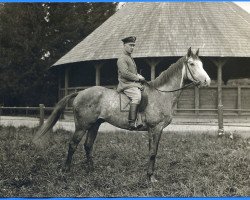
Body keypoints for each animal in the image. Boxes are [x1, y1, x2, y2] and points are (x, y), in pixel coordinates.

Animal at [31, 47, 211, 183]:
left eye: (202, 64)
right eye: (192, 64)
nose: (207, 81)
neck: (161, 94)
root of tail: (80, 93)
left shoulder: (153, 130)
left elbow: (152, 151)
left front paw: (149, 175)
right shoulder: (155, 128)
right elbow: (153, 152)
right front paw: (150, 177)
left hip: (95, 125)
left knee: (88, 145)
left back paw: (91, 169)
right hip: (82, 126)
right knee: (73, 144)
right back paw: (66, 169)